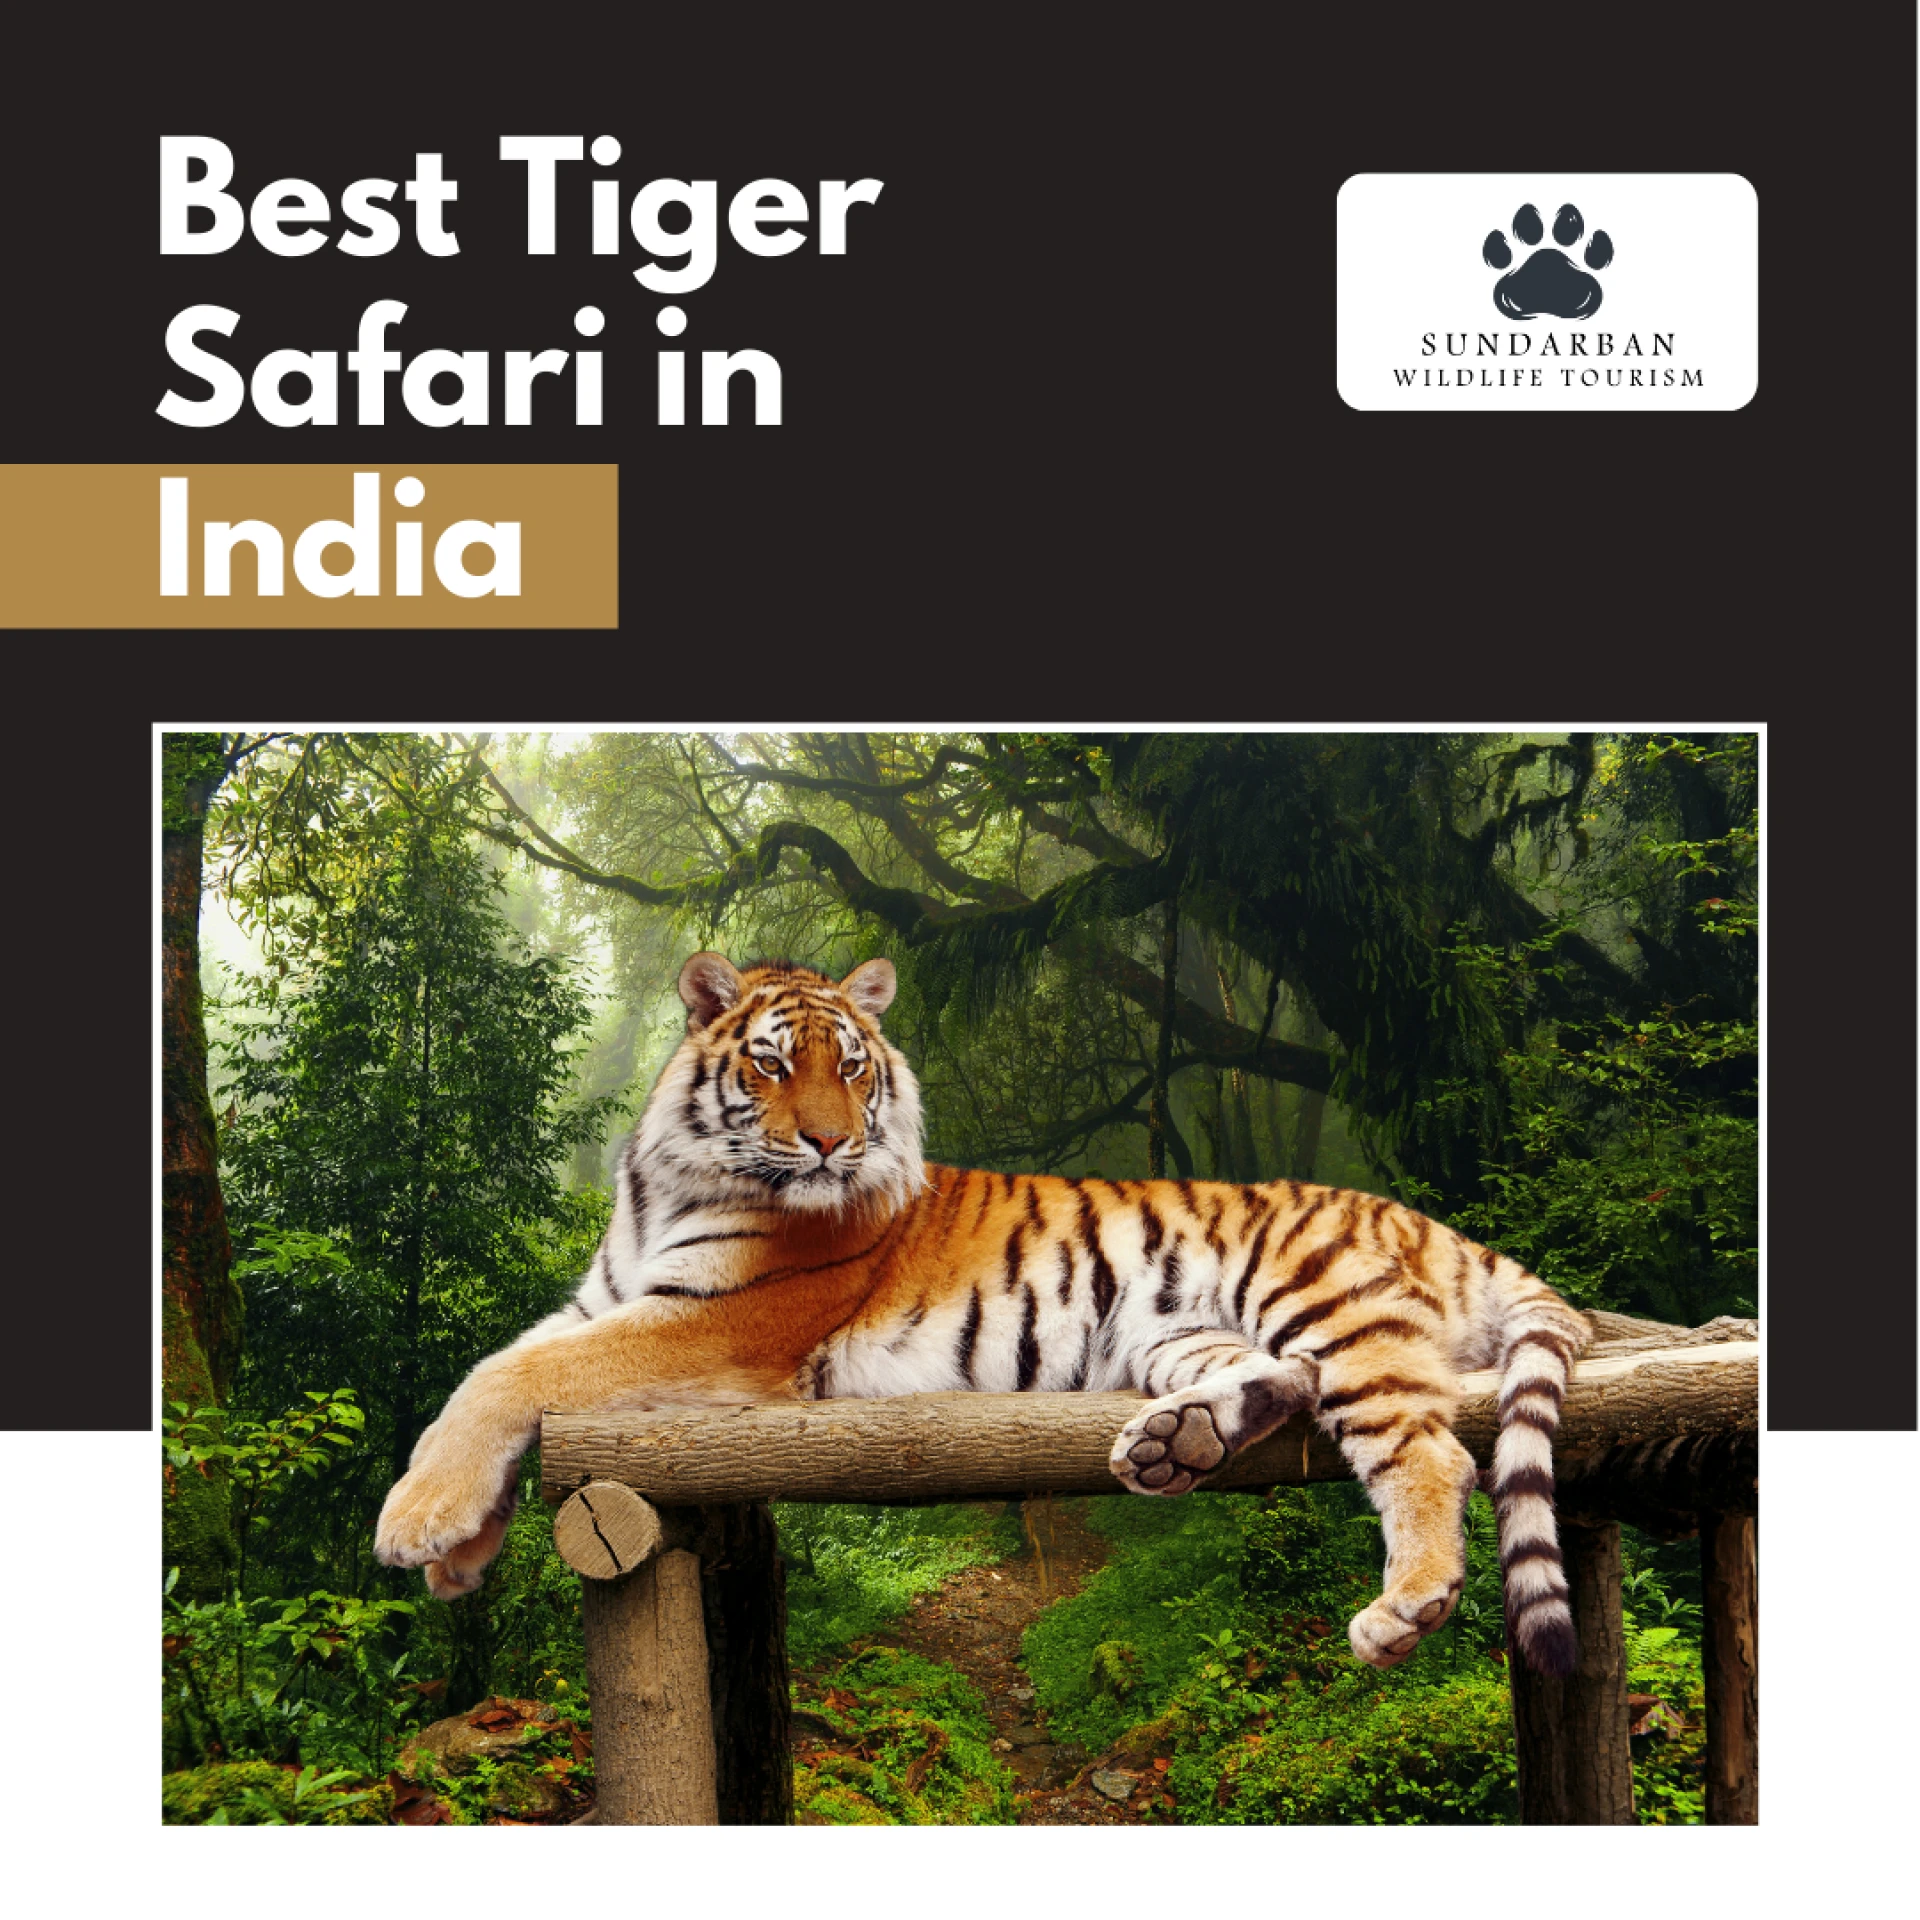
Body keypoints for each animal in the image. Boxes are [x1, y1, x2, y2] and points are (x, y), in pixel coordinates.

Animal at [375, 951, 1591, 1676]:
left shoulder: (719, 1325)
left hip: (1322, 1297)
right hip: (1173, 1328)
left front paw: (414, 1523)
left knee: (1430, 1451)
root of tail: (1437, 1223)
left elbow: (512, 1376)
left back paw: (1405, 1608)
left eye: (850, 1068)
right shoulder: (606, 1299)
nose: (829, 1144)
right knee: (1282, 1381)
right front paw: (459, 1551)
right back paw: (1176, 1443)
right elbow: (498, 1368)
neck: (665, 1182)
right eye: (771, 1064)